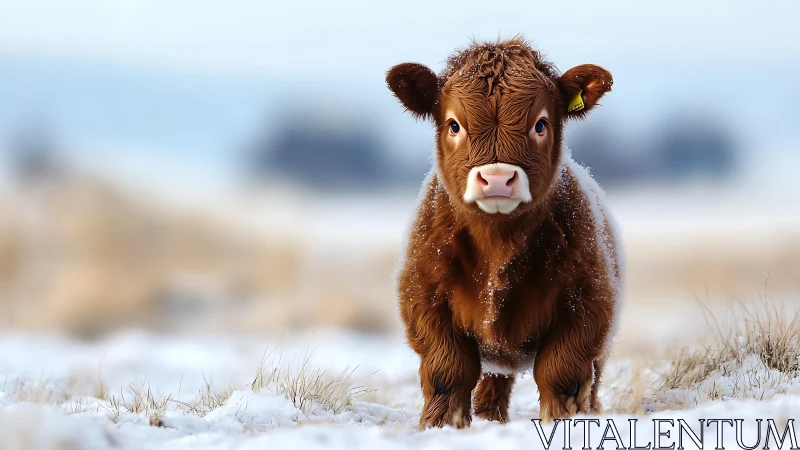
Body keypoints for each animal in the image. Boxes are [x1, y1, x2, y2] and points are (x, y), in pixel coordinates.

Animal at [386, 37, 622, 428]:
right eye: (454, 125)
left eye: (540, 125)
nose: (497, 178)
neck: (498, 245)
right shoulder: (424, 297)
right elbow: (448, 372)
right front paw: (440, 425)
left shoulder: (588, 303)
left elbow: (561, 373)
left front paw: (562, 422)